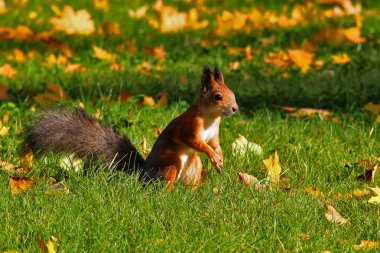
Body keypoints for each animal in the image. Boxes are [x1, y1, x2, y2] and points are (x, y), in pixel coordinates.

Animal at [23, 65, 238, 190]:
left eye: (233, 93)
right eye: (217, 97)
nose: (235, 108)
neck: (211, 117)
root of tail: (142, 173)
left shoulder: (214, 132)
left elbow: (215, 144)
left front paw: (219, 157)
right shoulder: (190, 126)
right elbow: (196, 142)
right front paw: (212, 155)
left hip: (193, 166)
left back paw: (192, 193)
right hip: (170, 163)